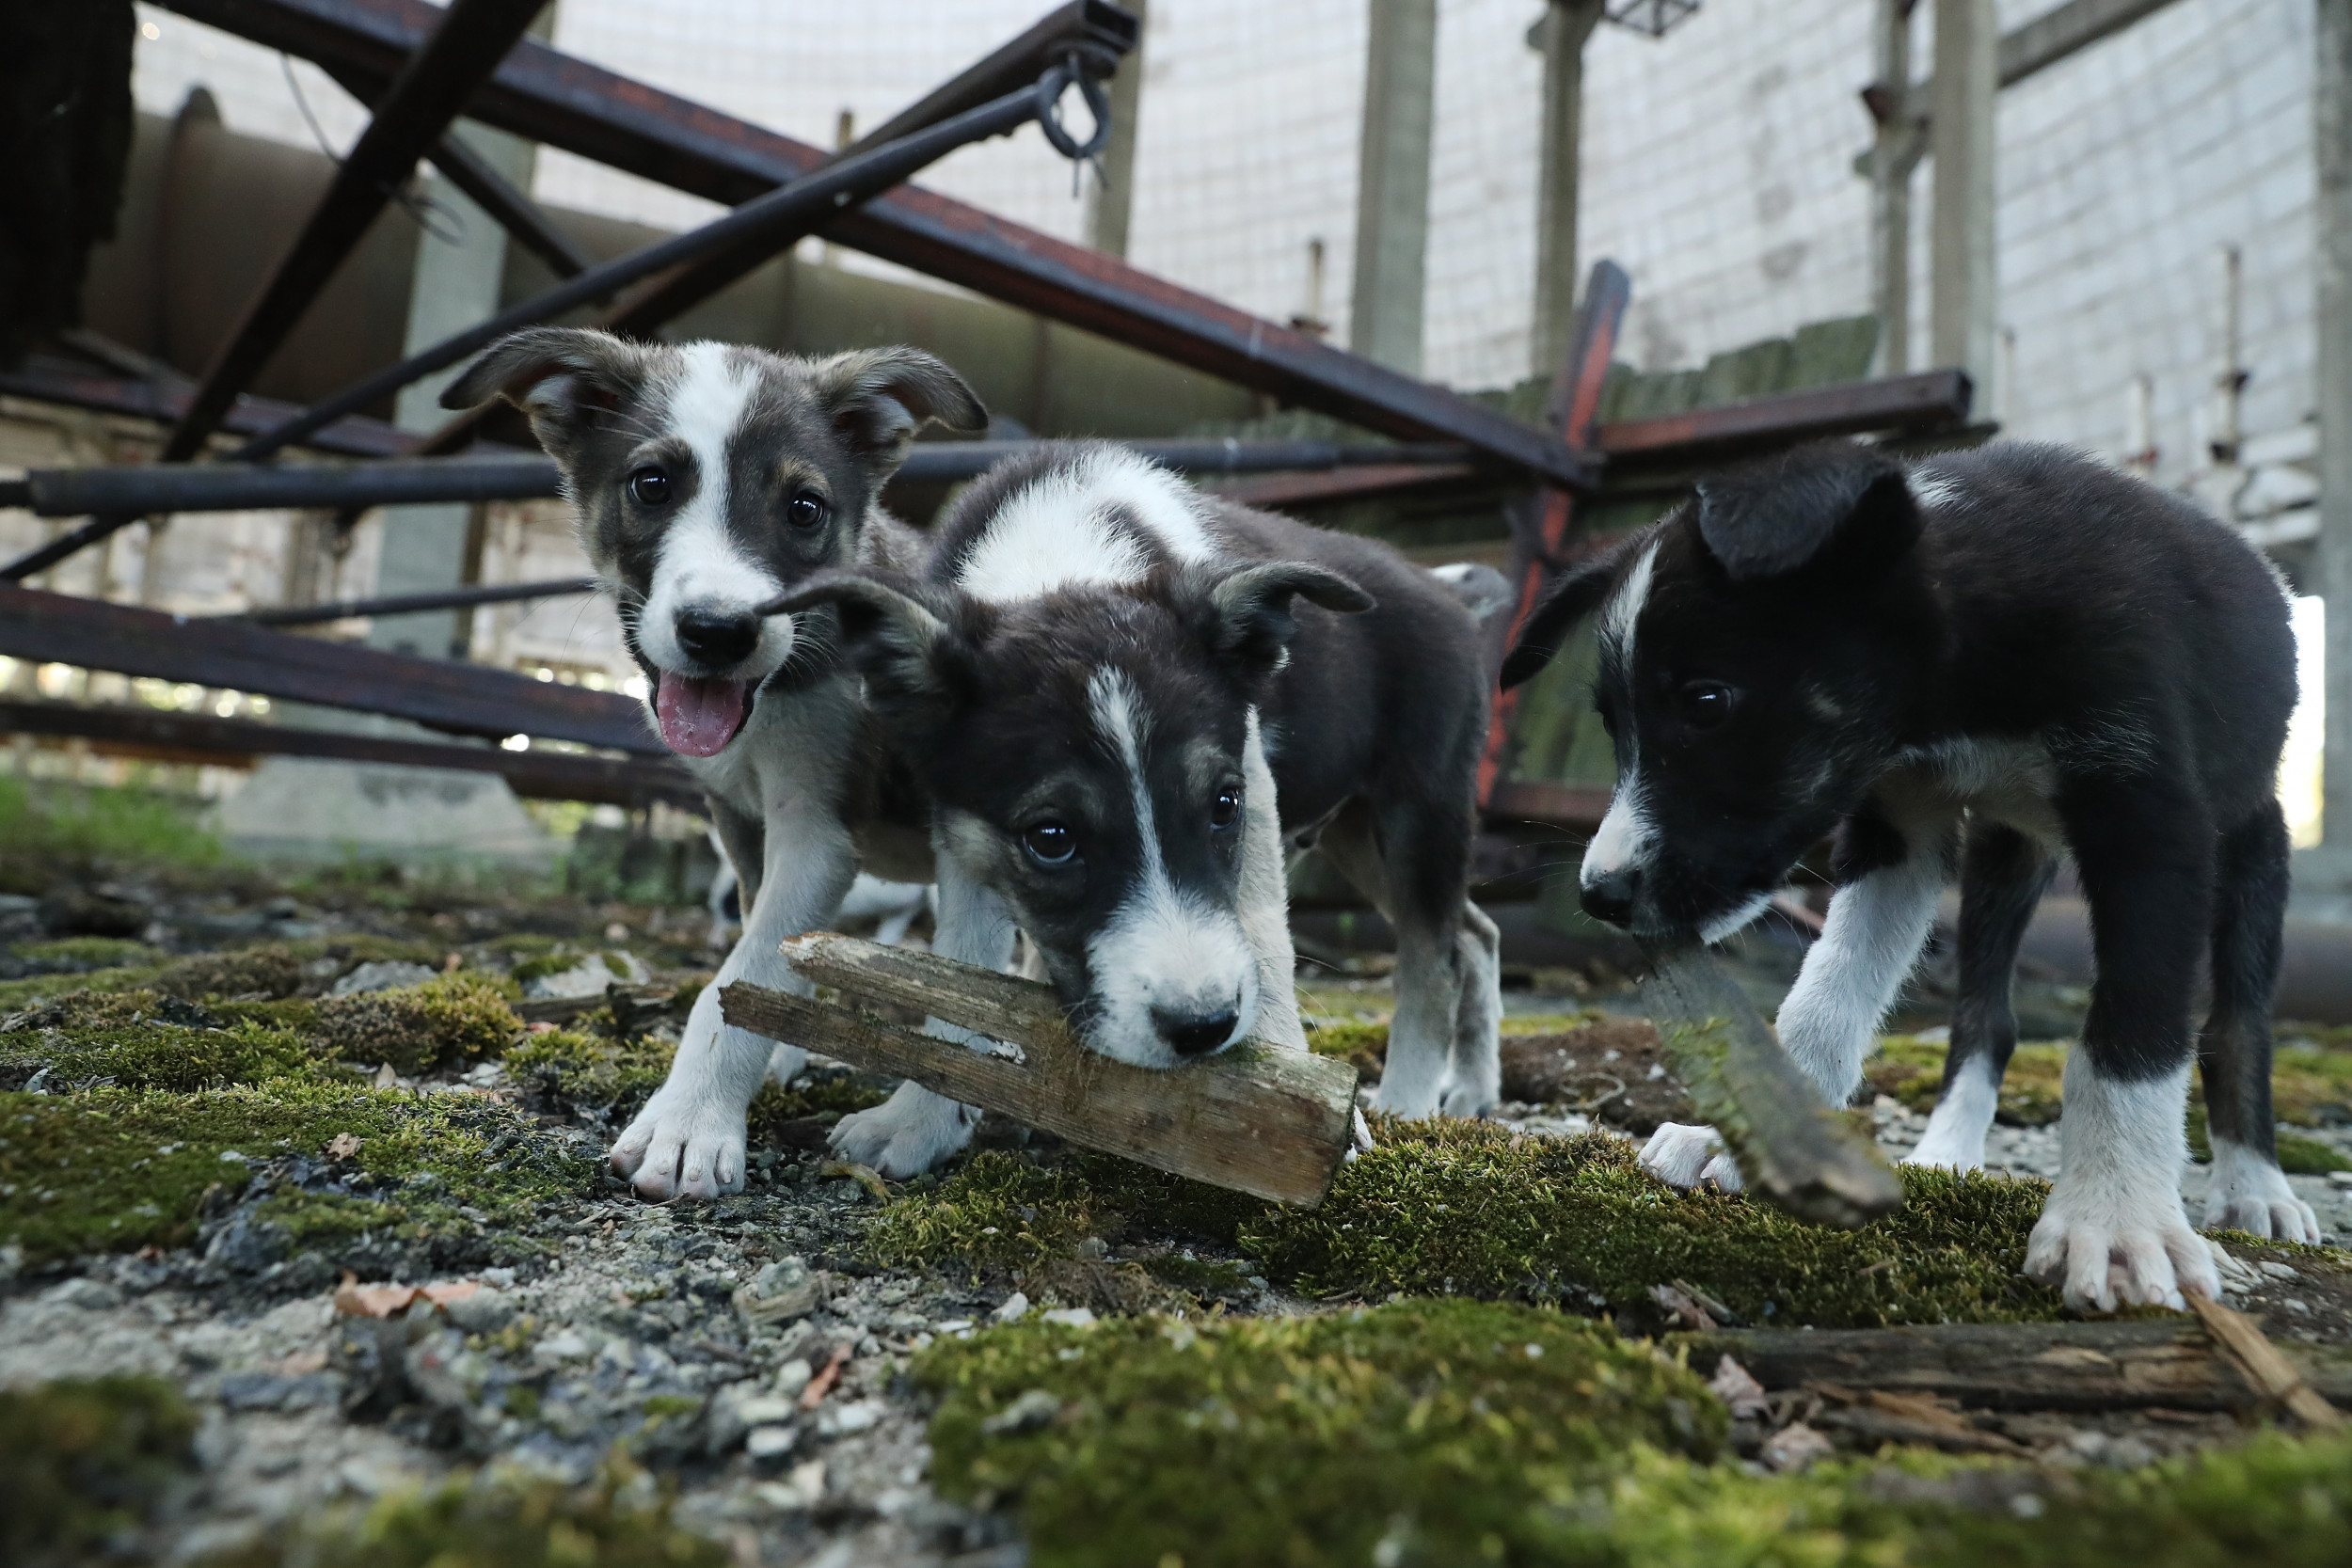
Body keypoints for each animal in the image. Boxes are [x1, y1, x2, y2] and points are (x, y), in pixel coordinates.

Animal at [442, 322, 983, 1203]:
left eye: (805, 508)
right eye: (652, 485)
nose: (719, 631)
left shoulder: (816, 831)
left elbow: (737, 976)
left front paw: (688, 1124)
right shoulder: (742, 824)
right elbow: (763, 963)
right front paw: (780, 1050)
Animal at [781, 441, 1496, 1175]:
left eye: (1222, 805)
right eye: (1051, 837)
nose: (1203, 1028)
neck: (1062, 553)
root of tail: (1446, 590)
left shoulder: (1255, 784)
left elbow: (1264, 932)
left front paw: (1307, 1103)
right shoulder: (964, 822)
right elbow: (961, 959)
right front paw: (921, 1119)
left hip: (1419, 806)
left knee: (1435, 954)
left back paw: (1409, 1098)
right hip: (1354, 829)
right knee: (1476, 933)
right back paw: (1470, 1087)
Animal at [1505, 439, 2314, 1316]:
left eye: (1708, 700)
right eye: (1613, 724)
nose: (1601, 894)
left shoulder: (2154, 825)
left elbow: (2132, 1032)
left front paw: (2118, 1220)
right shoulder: (1899, 823)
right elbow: (1826, 996)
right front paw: (1757, 1133)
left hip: (2252, 839)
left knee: (2237, 1023)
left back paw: (2256, 1184)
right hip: (2004, 854)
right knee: (1986, 1016)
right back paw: (1947, 1149)